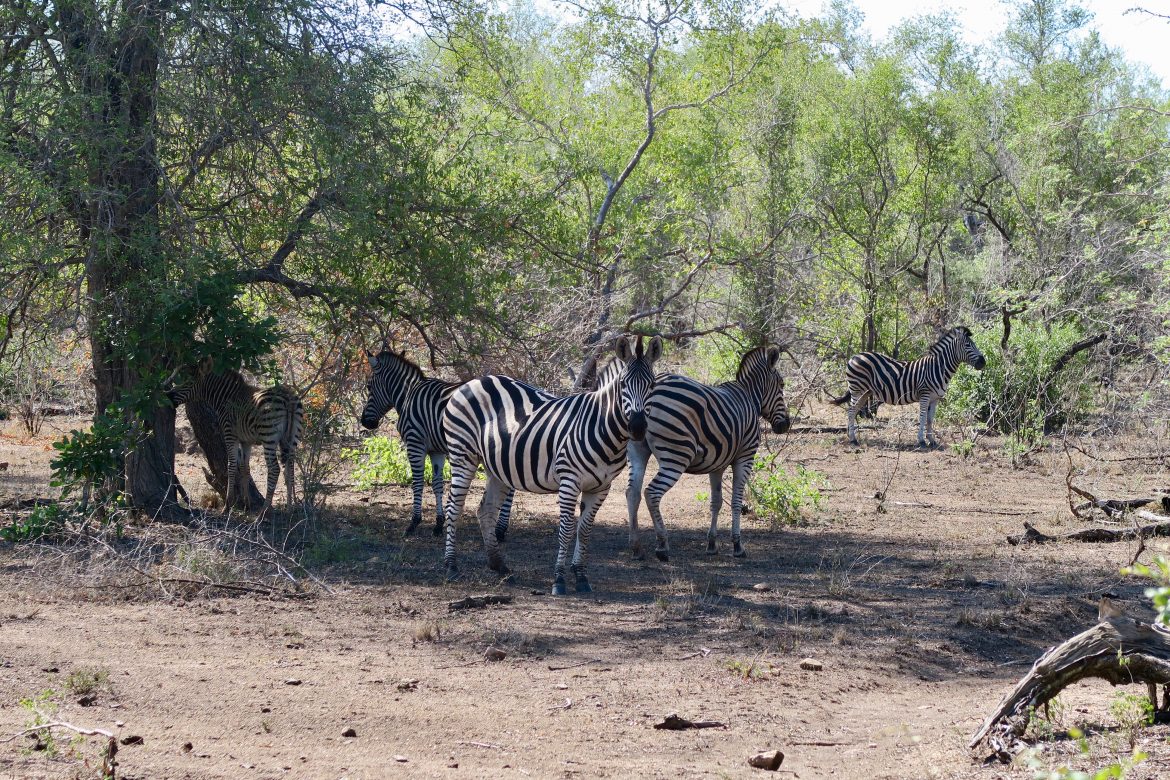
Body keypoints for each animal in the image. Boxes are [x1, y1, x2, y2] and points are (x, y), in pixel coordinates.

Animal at [170, 362, 306, 519]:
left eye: (189, 383)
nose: (168, 396)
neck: (225, 398)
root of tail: (288, 398)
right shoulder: (246, 441)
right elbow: (245, 467)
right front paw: (247, 505)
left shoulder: (230, 435)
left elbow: (231, 465)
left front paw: (228, 506)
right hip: (291, 437)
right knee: (290, 468)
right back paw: (290, 509)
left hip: (268, 437)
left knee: (274, 469)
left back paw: (263, 511)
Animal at [355, 348, 512, 537]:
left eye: (369, 387)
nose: (365, 422)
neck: (408, 396)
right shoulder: (436, 450)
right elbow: (437, 483)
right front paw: (438, 523)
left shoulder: (415, 442)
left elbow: (417, 482)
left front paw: (414, 522)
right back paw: (500, 528)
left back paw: (500, 529)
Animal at [439, 332, 664, 594]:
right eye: (624, 385)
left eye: (652, 385)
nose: (637, 427)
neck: (601, 426)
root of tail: (472, 382)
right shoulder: (569, 481)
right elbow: (566, 529)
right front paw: (559, 580)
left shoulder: (601, 487)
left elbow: (584, 530)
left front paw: (581, 576)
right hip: (462, 456)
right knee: (454, 508)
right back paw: (451, 567)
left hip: (497, 468)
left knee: (486, 510)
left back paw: (500, 566)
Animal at [627, 346, 790, 561]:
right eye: (781, 385)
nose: (786, 425)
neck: (750, 396)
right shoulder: (745, 457)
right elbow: (736, 501)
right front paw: (737, 545)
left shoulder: (717, 463)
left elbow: (716, 502)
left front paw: (712, 544)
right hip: (676, 456)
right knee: (651, 493)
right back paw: (662, 545)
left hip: (637, 449)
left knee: (632, 493)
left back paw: (636, 548)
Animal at [833, 325, 987, 449]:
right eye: (967, 345)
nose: (983, 362)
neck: (938, 368)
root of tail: (854, 356)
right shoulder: (925, 395)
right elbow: (923, 417)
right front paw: (922, 441)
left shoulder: (935, 398)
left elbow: (930, 419)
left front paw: (932, 440)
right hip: (857, 389)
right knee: (851, 411)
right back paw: (853, 440)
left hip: (865, 391)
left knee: (854, 410)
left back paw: (851, 436)